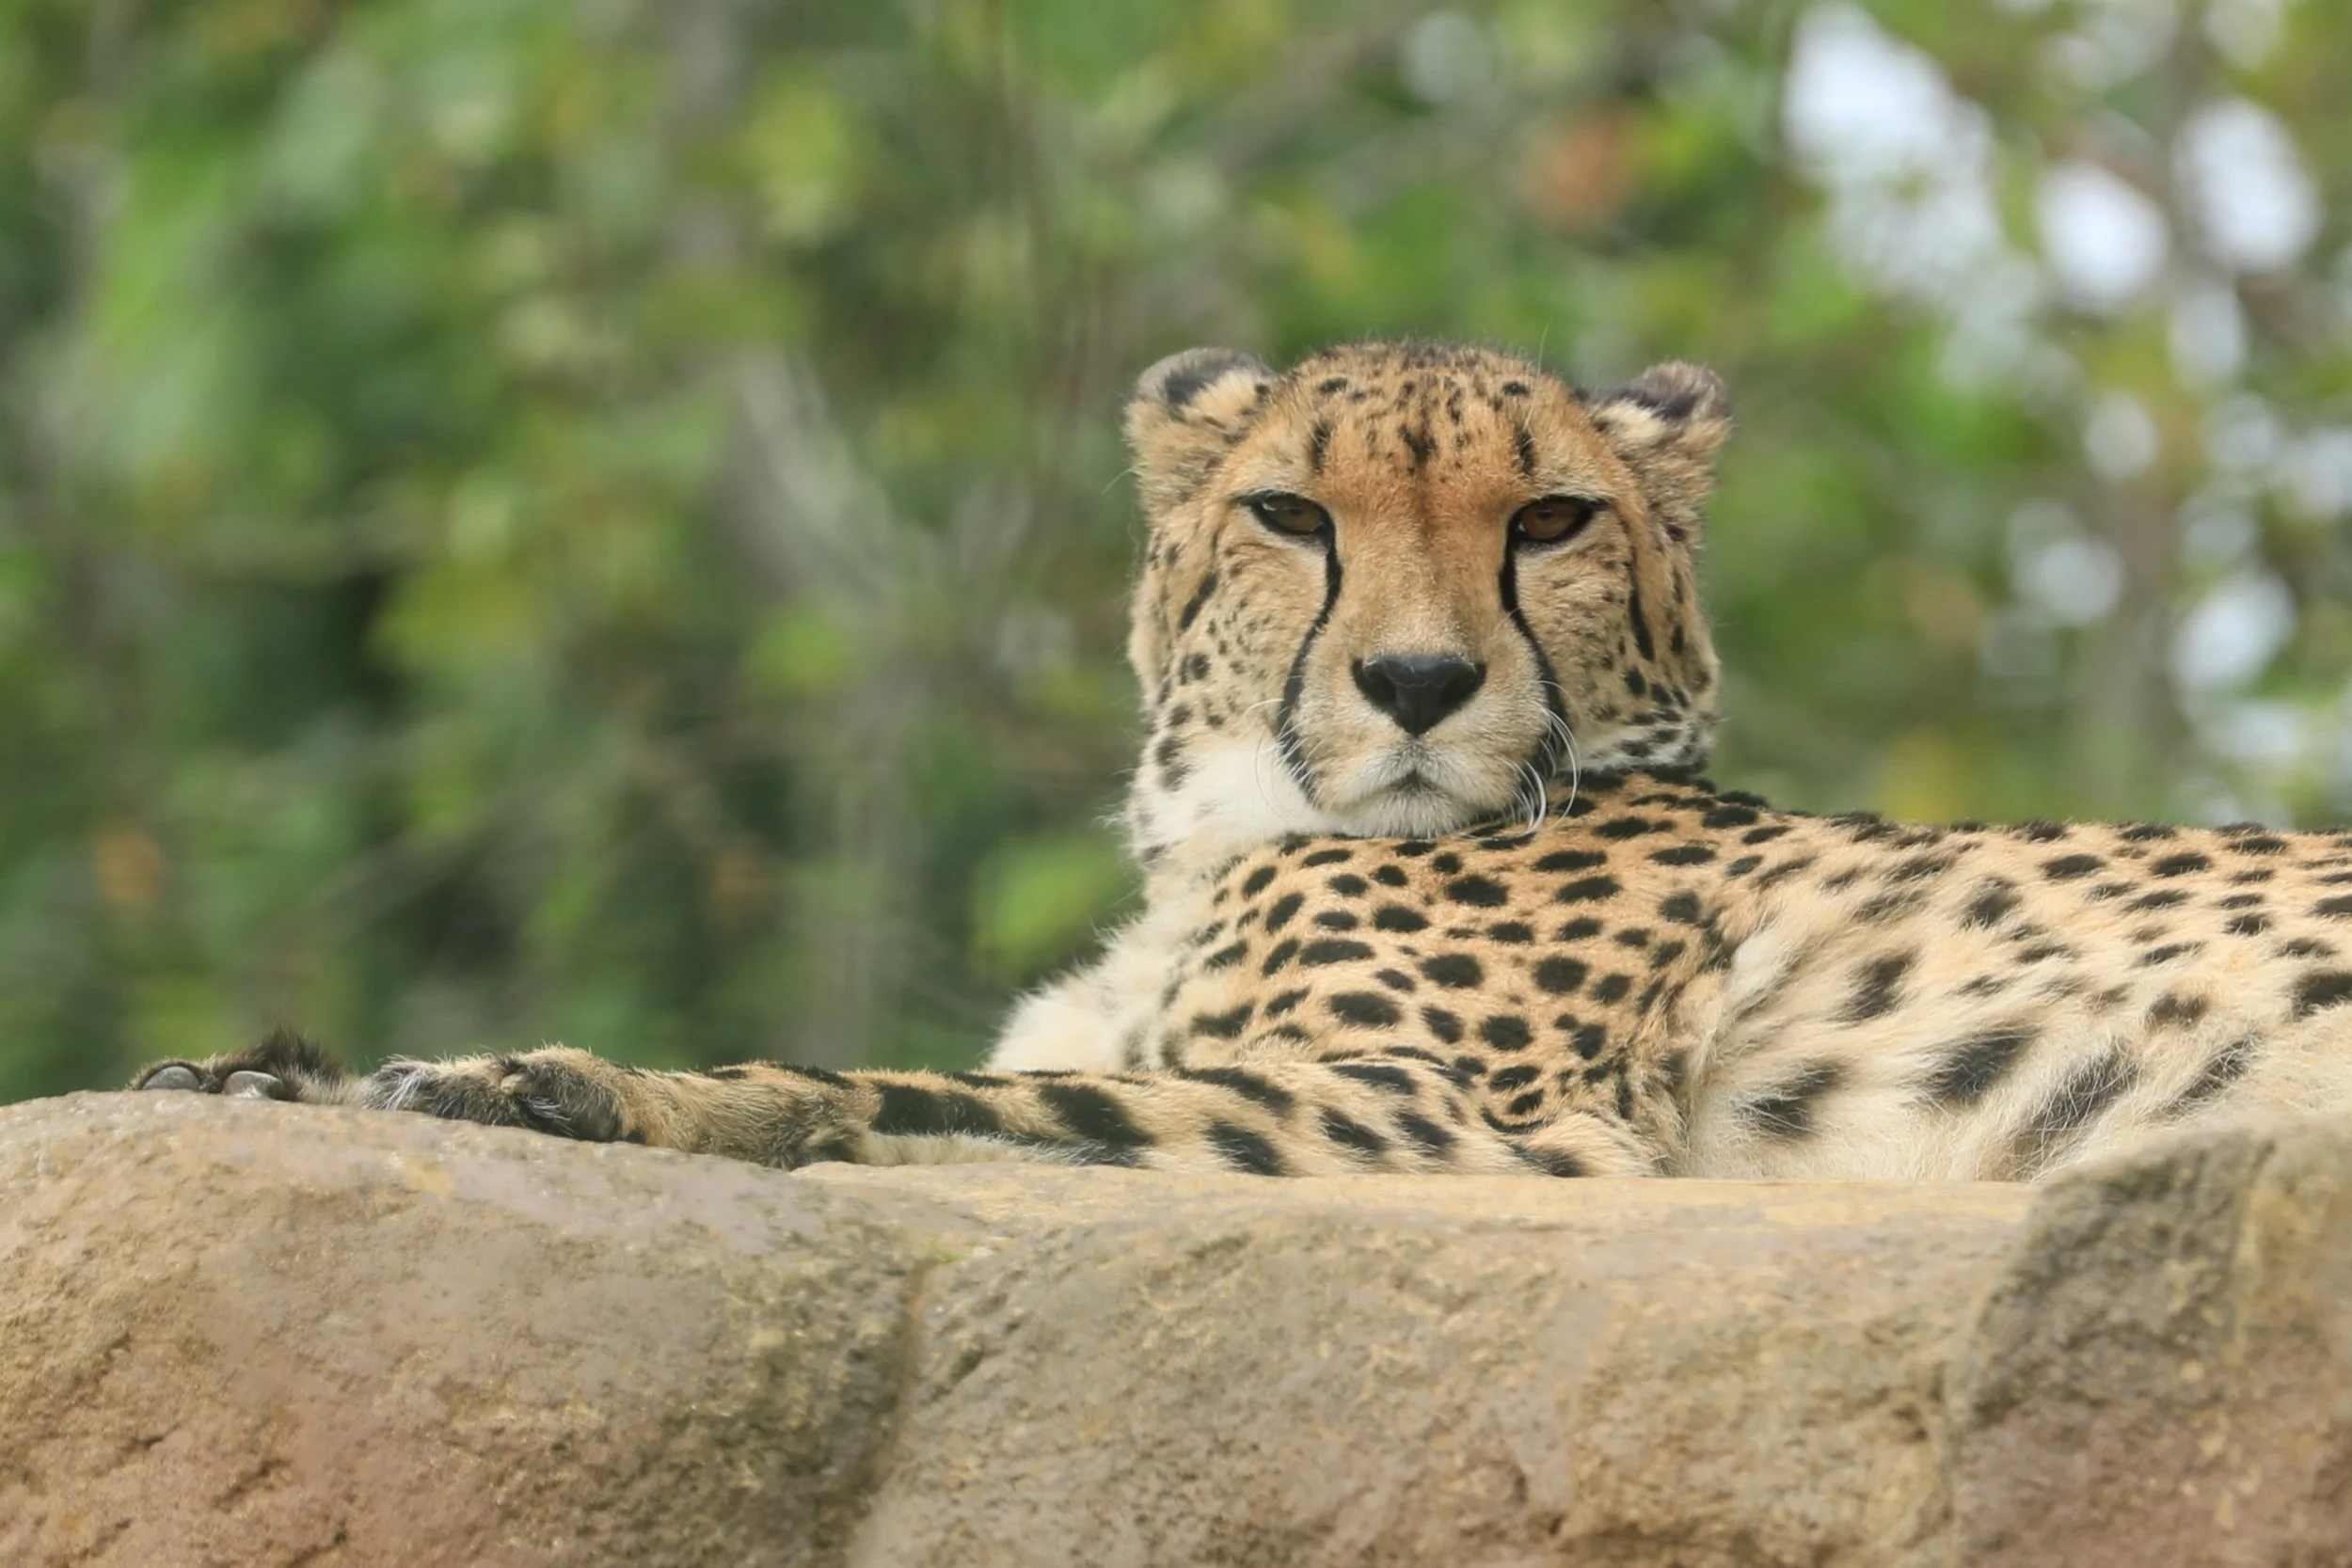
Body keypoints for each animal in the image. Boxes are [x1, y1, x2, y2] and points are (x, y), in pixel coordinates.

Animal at [135, 339, 2352, 1183]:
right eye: (1292, 513)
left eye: (1550, 518)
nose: (1415, 681)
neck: (1213, 835)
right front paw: (279, 1074)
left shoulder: (1465, 1125)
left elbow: (927, 1094)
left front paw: (557, 1082)